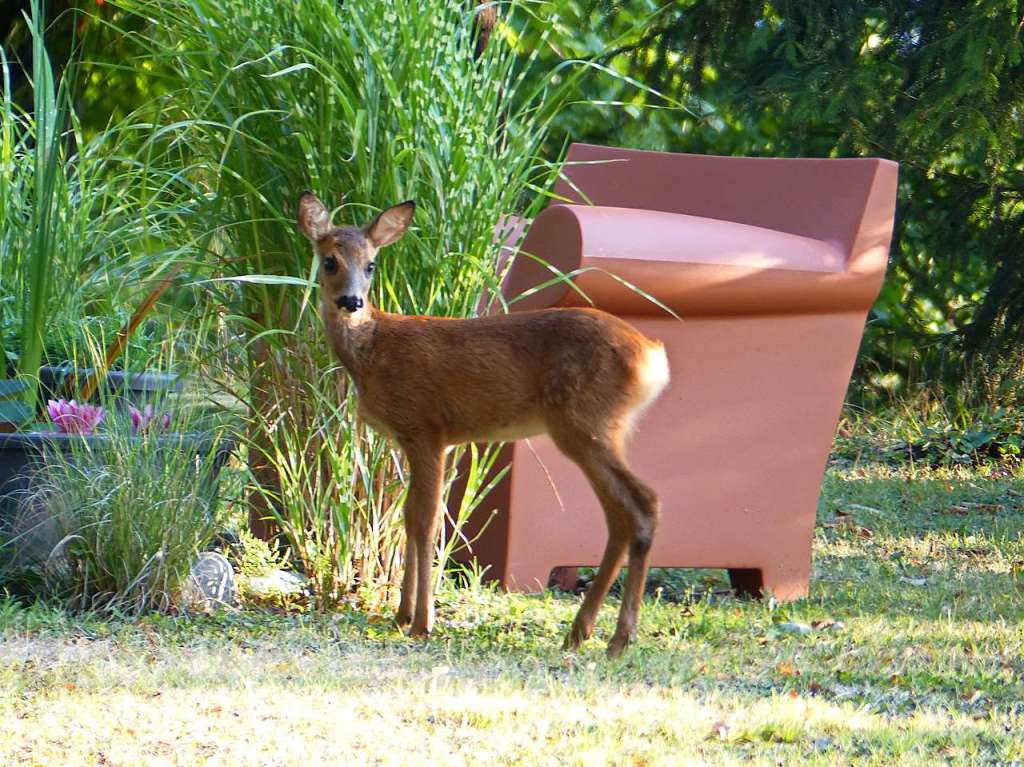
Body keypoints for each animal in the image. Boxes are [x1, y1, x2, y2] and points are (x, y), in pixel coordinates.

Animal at [296, 192, 671, 659]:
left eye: (371, 264)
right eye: (329, 261)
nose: (351, 302)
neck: (373, 352)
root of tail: (653, 356)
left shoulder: (426, 426)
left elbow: (427, 519)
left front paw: (422, 622)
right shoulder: (414, 438)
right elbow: (408, 515)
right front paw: (402, 614)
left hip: (585, 423)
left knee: (642, 504)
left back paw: (617, 638)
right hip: (595, 428)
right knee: (621, 515)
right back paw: (582, 633)